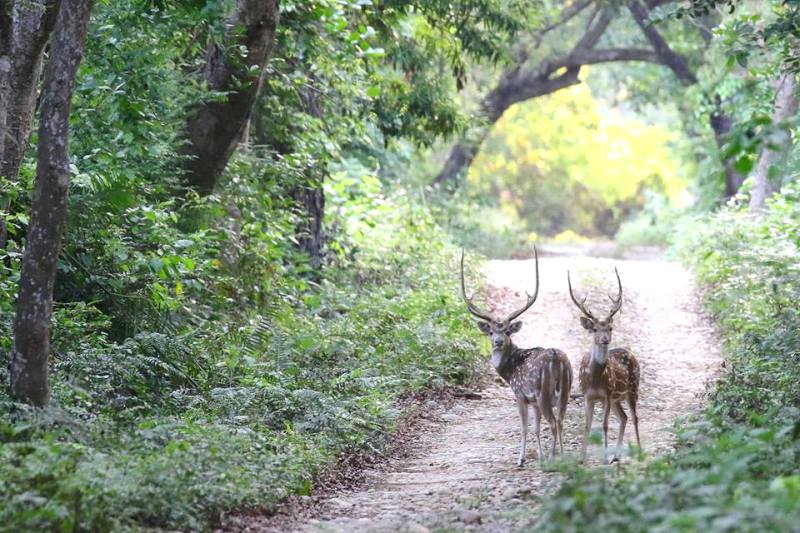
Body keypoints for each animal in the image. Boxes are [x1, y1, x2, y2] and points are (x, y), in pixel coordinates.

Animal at [460, 247, 572, 464]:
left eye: (507, 331)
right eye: (491, 331)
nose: (498, 341)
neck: (509, 370)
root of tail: (557, 359)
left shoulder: (520, 394)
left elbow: (524, 428)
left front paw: (521, 459)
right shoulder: (533, 401)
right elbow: (536, 428)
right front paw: (540, 456)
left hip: (544, 392)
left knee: (554, 423)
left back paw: (554, 458)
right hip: (565, 391)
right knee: (561, 421)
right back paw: (563, 457)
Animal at [568, 268, 644, 460]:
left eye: (610, 328)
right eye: (595, 329)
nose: (604, 339)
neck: (595, 378)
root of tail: (632, 353)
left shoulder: (607, 395)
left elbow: (604, 425)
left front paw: (603, 458)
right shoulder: (587, 395)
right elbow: (587, 425)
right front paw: (581, 458)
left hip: (632, 388)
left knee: (634, 417)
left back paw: (639, 451)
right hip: (618, 397)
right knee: (624, 417)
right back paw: (616, 456)